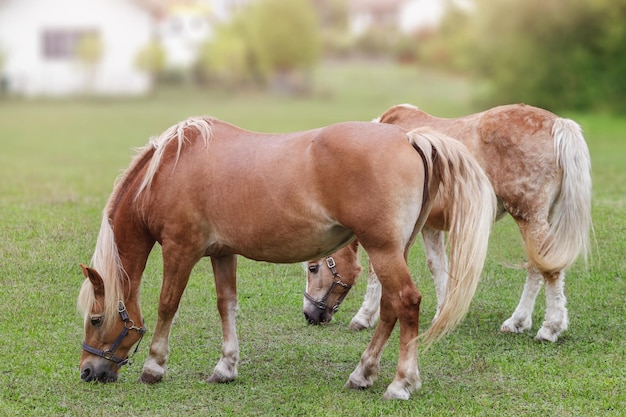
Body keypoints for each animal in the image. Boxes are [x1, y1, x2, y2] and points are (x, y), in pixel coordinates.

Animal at [75, 114, 492, 400]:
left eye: (95, 319)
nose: (88, 372)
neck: (169, 169)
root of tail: (408, 137)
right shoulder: (222, 253)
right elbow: (226, 305)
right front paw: (225, 367)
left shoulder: (181, 250)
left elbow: (167, 305)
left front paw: (154, 366)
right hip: (393, 251)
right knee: (390, 307)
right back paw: (363, 373)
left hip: (385, 250)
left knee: (406, 301)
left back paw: (401, 382)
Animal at [302, 103, 588, 342]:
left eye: (313, 268)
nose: (309, 315)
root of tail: (557, 123)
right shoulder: (429, 226)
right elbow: (438, 266)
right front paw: (442, 313)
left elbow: (377, 271)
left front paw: (363, 317)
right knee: (536, 267)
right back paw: (517, 322)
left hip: (529, 217)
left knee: (549, 271)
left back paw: (549, 328)